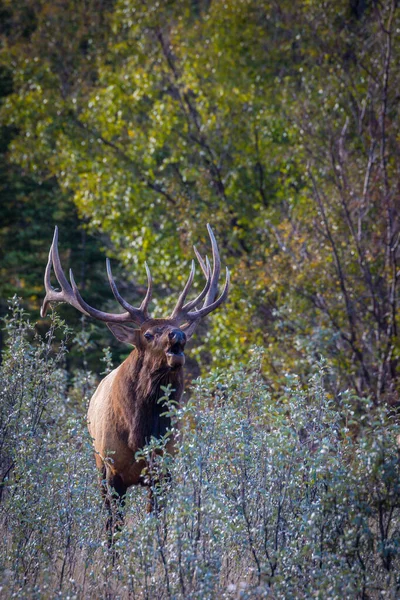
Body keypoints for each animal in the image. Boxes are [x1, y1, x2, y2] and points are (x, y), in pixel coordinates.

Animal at [41, 225, 228, 536]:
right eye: (149, 334)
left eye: (177, 329)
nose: (178, 336)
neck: (141, 434)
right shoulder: (112, 471)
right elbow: (114, 528)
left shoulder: (164, 469)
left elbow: (158, 525)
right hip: (98, 465)